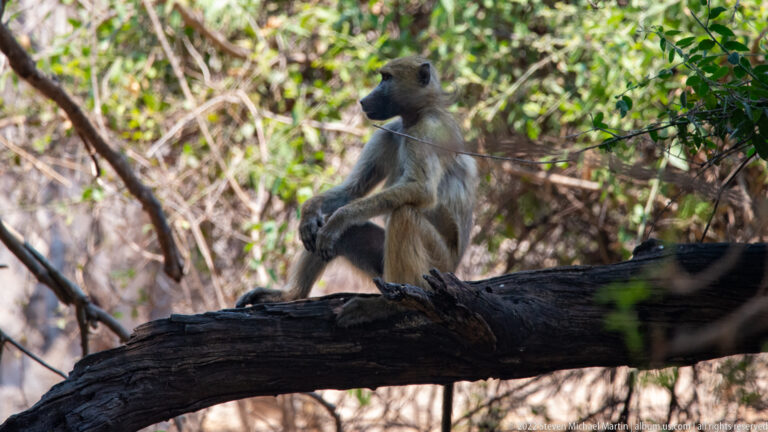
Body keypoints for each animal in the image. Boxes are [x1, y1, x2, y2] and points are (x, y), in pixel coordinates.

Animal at [236, 57, 477, 431]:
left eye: (386, 78)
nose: (365, 100)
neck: (417, 114)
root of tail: (457, 268)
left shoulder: (427, 132)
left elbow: (420, 191)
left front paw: (335, 220)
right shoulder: (388, 131)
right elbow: (351, 192)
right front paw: (310, 215)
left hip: (439, 264)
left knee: (405, 213)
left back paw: (393, 305)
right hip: (386, 263)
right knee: (337, 236)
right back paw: (291, 294)